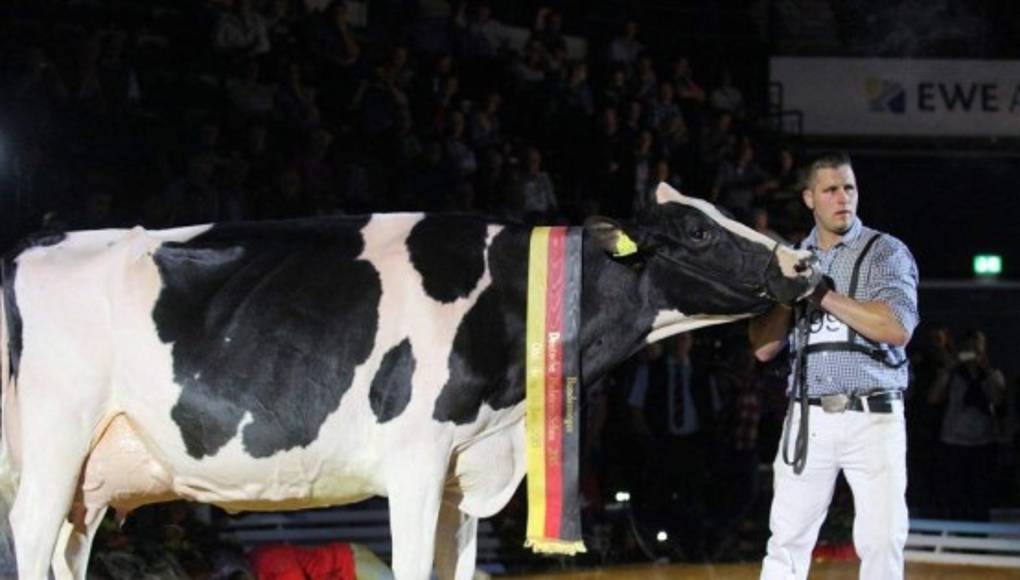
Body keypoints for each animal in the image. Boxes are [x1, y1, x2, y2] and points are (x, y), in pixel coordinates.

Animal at [0, 183, 819, 579]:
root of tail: (28, 247)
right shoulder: (417, 458)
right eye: (700, 232)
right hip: (54, 444)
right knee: (30, 543)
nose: (802, 262)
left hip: (89, 479)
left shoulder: (463, 470)